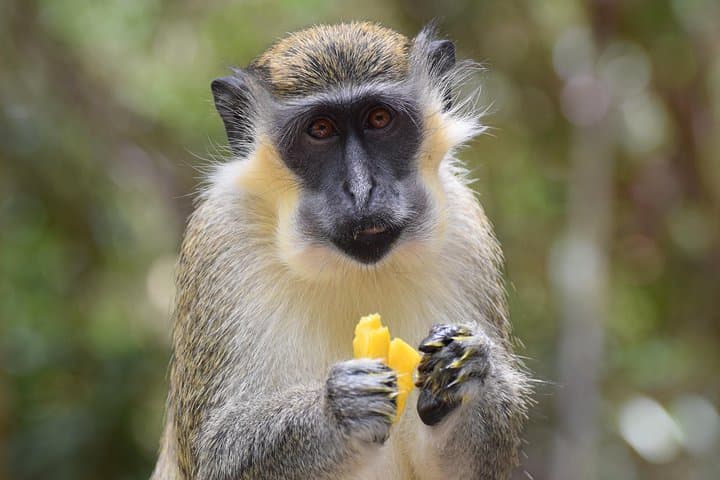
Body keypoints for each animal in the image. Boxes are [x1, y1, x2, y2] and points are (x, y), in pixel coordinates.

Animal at [151, 21, 531, 480]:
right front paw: (338, 409)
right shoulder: (219, 240)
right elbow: (215, 455)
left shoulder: (464, 229)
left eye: (379, 119)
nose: (361, 190)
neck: (348, 268)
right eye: (320, 129)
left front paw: (468, 367)